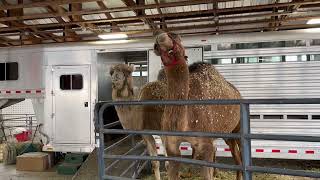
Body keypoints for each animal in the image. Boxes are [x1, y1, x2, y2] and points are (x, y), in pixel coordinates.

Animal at [154, 31, 241, 180]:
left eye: (177, 39)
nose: (161, 36)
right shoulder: (171, 146)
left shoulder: (205, 145)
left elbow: (207, 172)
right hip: (227, 133)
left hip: (238, 128)